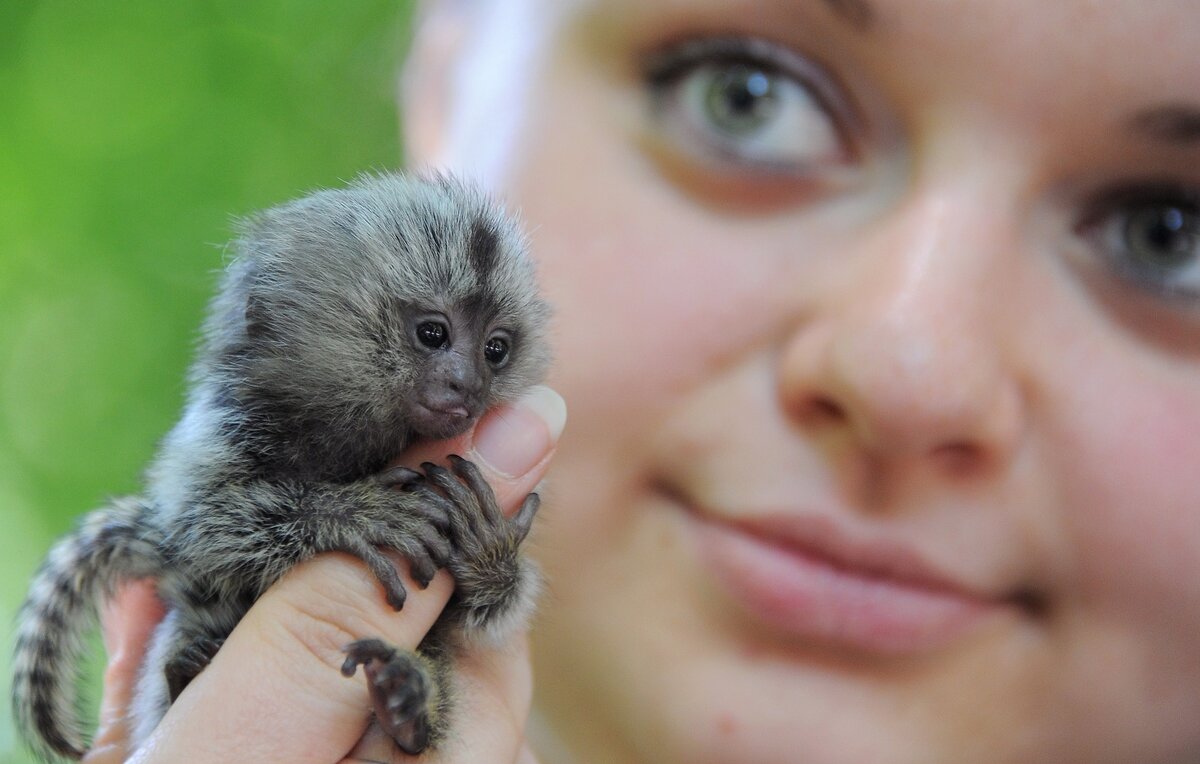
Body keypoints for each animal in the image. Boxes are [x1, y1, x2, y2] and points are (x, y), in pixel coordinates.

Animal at [11, 170, 552, 758]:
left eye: (495, 350)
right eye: (433, 333)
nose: (468, 385)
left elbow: (473, 616)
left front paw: (487, 552)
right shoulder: (221, 432)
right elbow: (202, 526)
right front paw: (347, 514)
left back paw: (407, 704)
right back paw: (185, 672)